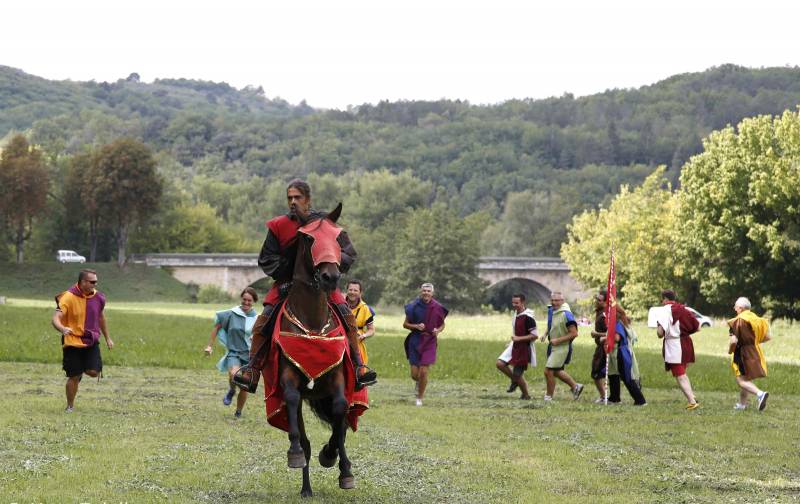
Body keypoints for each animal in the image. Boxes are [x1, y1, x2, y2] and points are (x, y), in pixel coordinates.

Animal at [266, 203, 366, 498]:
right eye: (308, 239)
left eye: (337, 237)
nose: (330, 276)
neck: (312, 322)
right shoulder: (290, 379)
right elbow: (291, 401)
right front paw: (296, 454)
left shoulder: (337, 378)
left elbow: (340, 412)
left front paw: (338, 462)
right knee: (304, 436)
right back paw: (306, 487)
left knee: (340, 423)